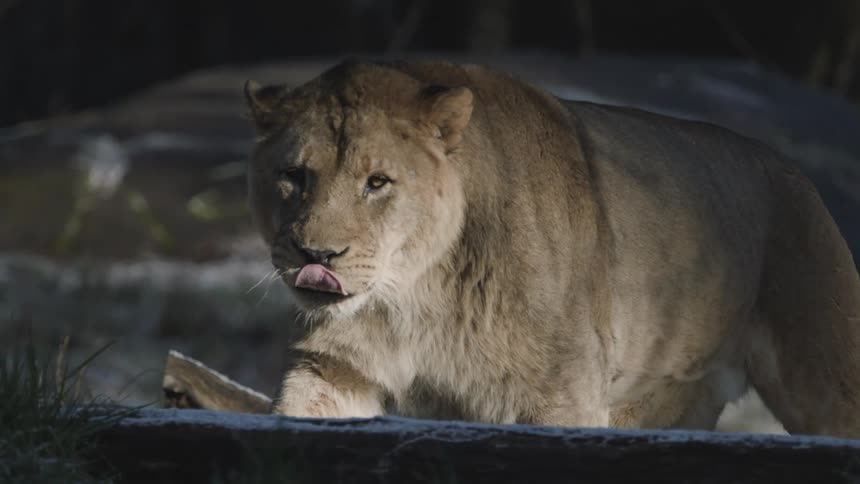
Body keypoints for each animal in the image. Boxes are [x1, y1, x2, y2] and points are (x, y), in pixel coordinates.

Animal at [243, 59, 860, 437]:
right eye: (294, 176)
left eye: (377, 183)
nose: (317, 257)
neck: (412, 297)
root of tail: (794, 171)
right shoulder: (334, 369)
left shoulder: (559, 394)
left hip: (828, 373)